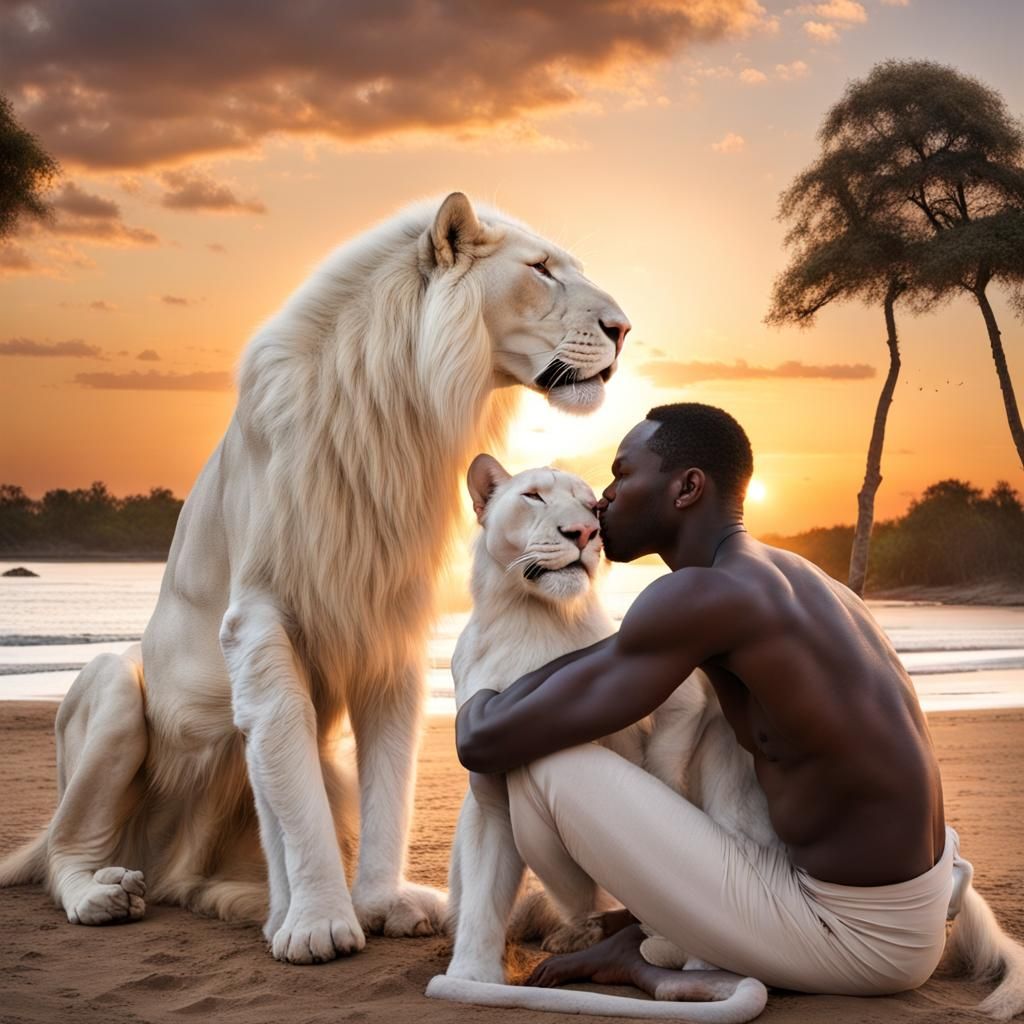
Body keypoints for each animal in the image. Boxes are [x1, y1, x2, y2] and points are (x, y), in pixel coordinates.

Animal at [0, 193, 630, 965]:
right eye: (540, 269)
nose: (624, 329)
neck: (394, 415)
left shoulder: (390, 619)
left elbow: (389, 767)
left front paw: (382, 903)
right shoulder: (256, 619)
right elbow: (287, 764)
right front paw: (318, 924)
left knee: (194, 875)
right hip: (114, 690)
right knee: (64, 847)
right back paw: (106, 894)